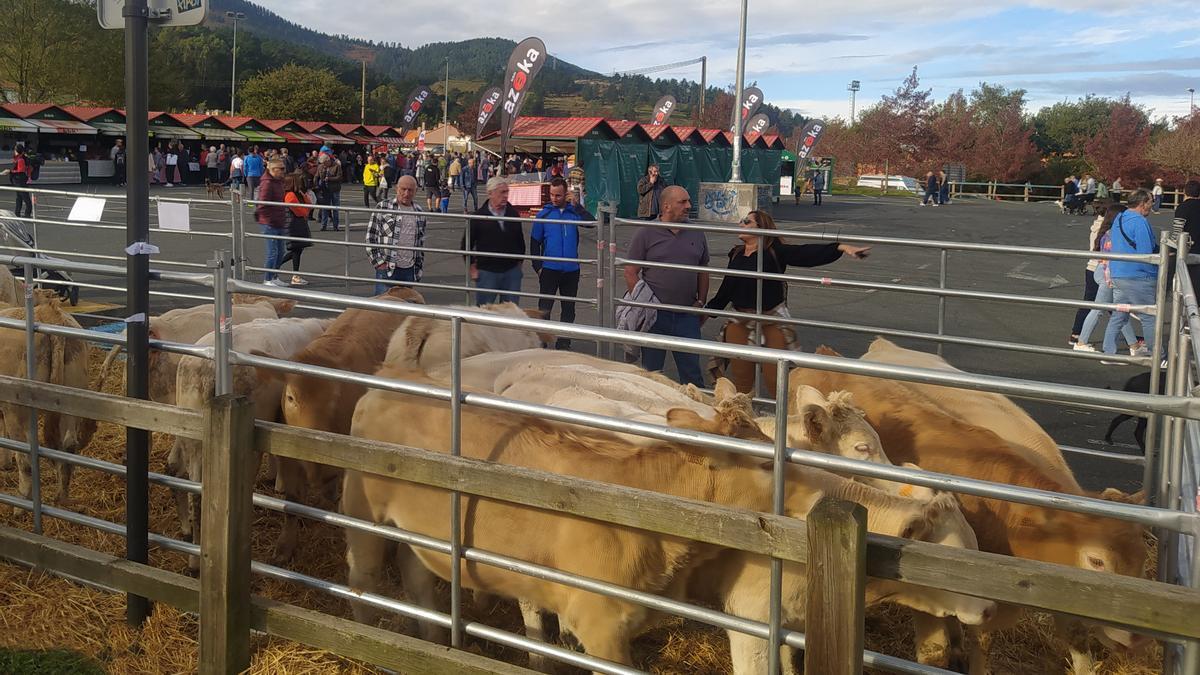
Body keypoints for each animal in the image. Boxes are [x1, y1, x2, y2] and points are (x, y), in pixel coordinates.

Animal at [0, 300, 97, 504]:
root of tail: (49, 313)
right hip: (72, 395)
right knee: (68, 445)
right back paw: (62, 500)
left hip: (17, 407)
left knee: (26, 460)